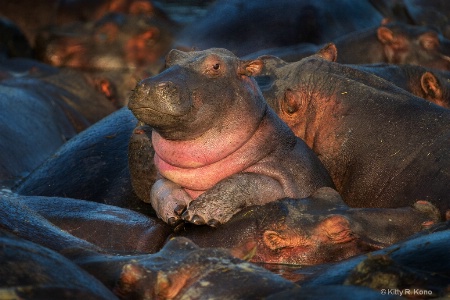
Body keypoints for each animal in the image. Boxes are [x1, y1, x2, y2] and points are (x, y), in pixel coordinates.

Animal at [128, 47, 336, 226]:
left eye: (216, 66)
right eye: (170, 57)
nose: (150, 85)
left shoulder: (292, 179)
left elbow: (242, 180)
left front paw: (199, 213)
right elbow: (158, 185)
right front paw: (174, 210)